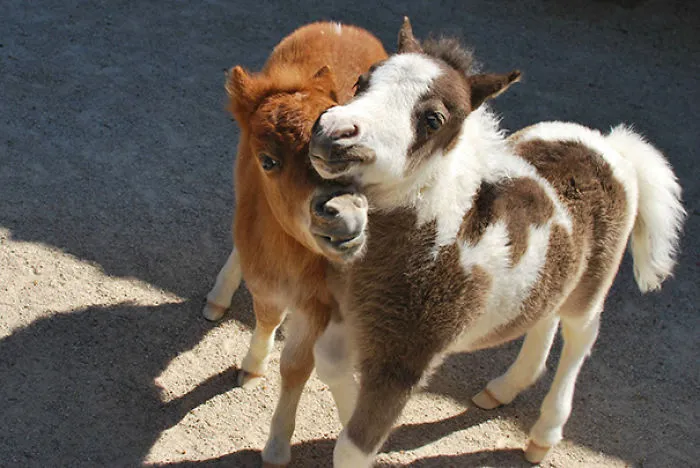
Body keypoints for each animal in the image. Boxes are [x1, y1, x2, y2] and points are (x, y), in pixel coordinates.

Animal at [202, 22, 386, 466]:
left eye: (348, 154)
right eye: (268, 160)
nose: (343, 211)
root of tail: (341, 26)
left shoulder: (321, 302)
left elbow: (297, 367)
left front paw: (276, 445)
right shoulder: (267, 283)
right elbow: (268, 319)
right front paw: (252, 368)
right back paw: (218, 297)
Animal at [308, 18, 685, 467]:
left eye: (433, 119)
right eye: (361, 82)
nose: (332, 133)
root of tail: (610, 145)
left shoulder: (407, 355)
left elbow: (354, 447)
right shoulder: (347, 309)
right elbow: (329, 363)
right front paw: (351, 412)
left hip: (592, 286)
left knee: (580, 336)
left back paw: (544, 434)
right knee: (545, 313)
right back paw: (504, 389)